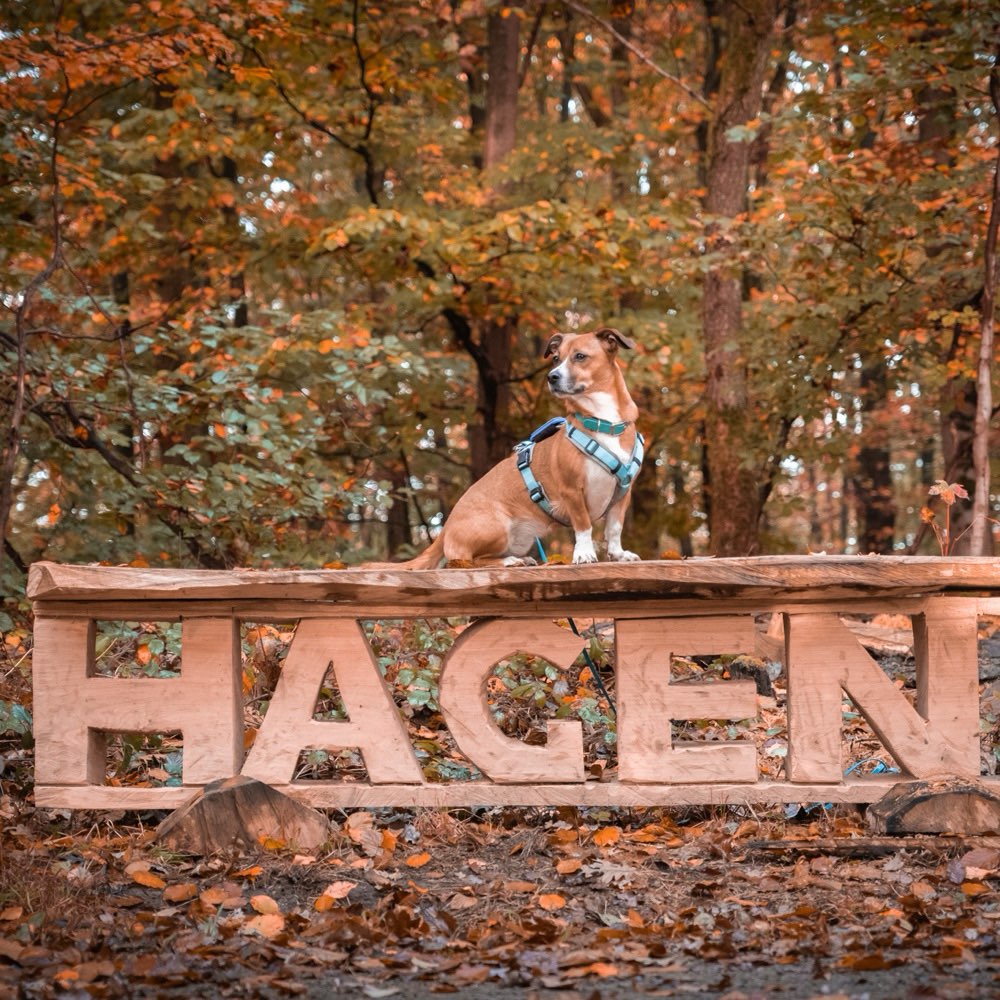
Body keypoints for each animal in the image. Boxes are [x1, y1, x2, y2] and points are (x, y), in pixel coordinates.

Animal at [394, 324, 644, 568]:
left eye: (580, 356)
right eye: (556, 358)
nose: (552, 377)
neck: (604, 423)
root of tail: (445, 530)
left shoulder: (623, 494)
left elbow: (614, 529)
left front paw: (618, 554)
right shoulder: (572, 490)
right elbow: (583, 526)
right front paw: (584, 554)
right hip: (497, 526)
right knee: (466, 561)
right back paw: (509, 560)